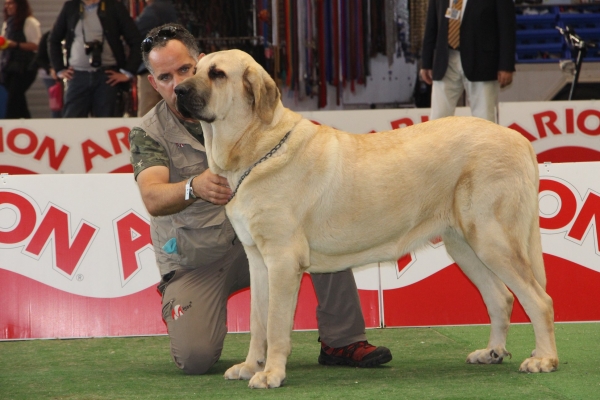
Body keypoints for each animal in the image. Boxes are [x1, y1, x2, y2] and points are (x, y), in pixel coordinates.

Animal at [173, 49, 556, 388]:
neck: (255, 148)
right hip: (464, 245)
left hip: (492, 239)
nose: (178, 91)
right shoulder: (258, 261)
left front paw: (270, 374)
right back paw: (492, 352)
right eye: (193, 69)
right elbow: (257, 322)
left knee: (539, 300)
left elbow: (276, 325)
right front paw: (252, 366)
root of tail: (518, 139)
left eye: (217, 74)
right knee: (501, 298)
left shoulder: (282, 260)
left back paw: (543, 359)